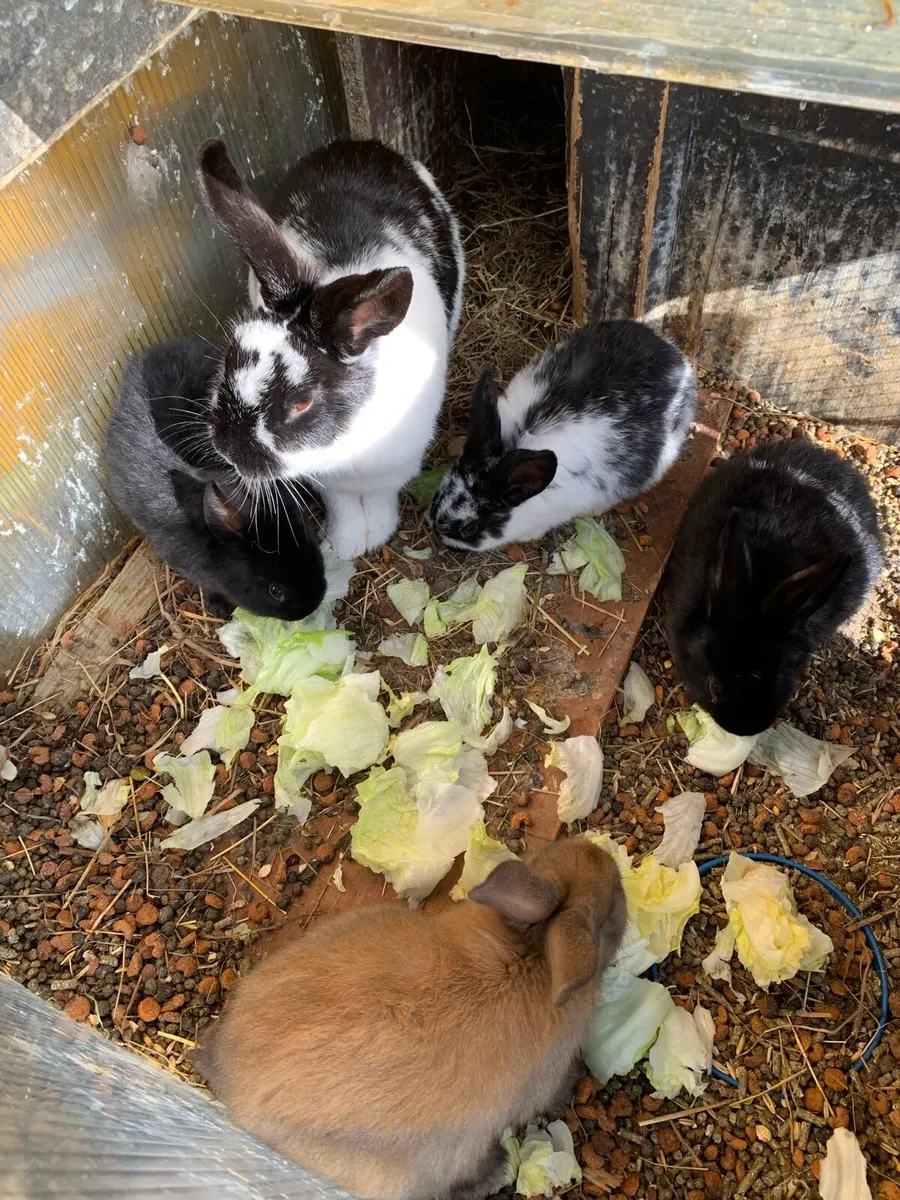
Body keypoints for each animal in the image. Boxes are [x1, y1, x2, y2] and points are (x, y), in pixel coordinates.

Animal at [194, 137, 465, 561]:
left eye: (302, 403)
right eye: (228, 359)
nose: (228, 449)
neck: (347, 441)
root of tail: (356, 145)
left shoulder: (394, 467)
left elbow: (380, 497)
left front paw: (378, 534)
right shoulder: (328, 482)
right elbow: (344, 504)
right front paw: (346, 543)